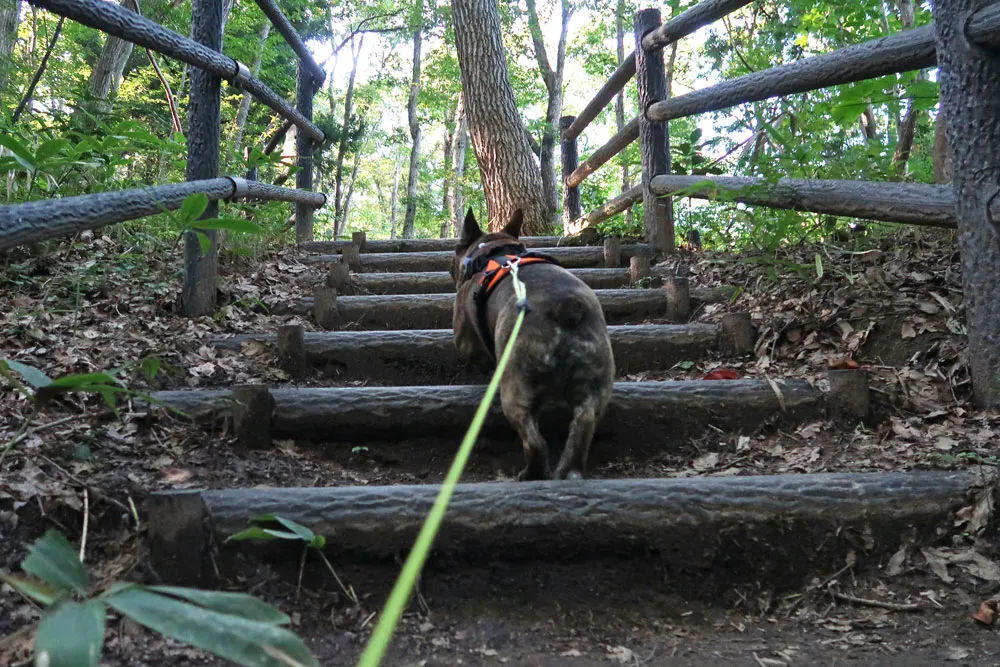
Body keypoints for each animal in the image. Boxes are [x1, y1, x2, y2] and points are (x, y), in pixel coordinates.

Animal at [454, 207, 616, 480]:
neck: (494, 251)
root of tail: (566, 307)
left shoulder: (464, 337)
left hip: (516, 386)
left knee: (535, 441)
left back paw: (529, 474)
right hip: (594, 383)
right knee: (584, 423)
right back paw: (569, 471)